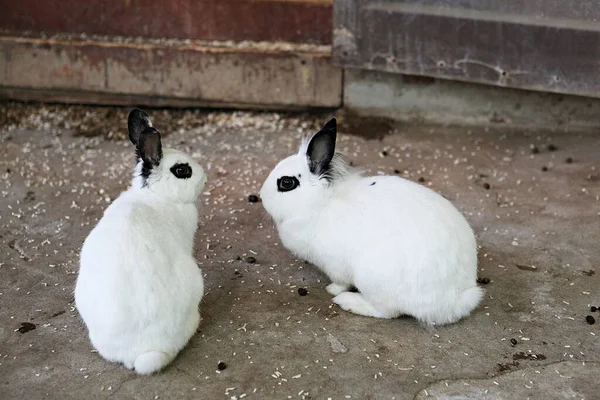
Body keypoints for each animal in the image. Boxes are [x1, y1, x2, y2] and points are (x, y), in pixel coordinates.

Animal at [258, 119, 482, 324]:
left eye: (286, 183)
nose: (261, 196)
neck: (318, 203)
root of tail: (450, 302)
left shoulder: (335, 266)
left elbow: (340, 282)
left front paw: (331, 289)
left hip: (373, 280)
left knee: (387, 312)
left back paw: (348, 301)